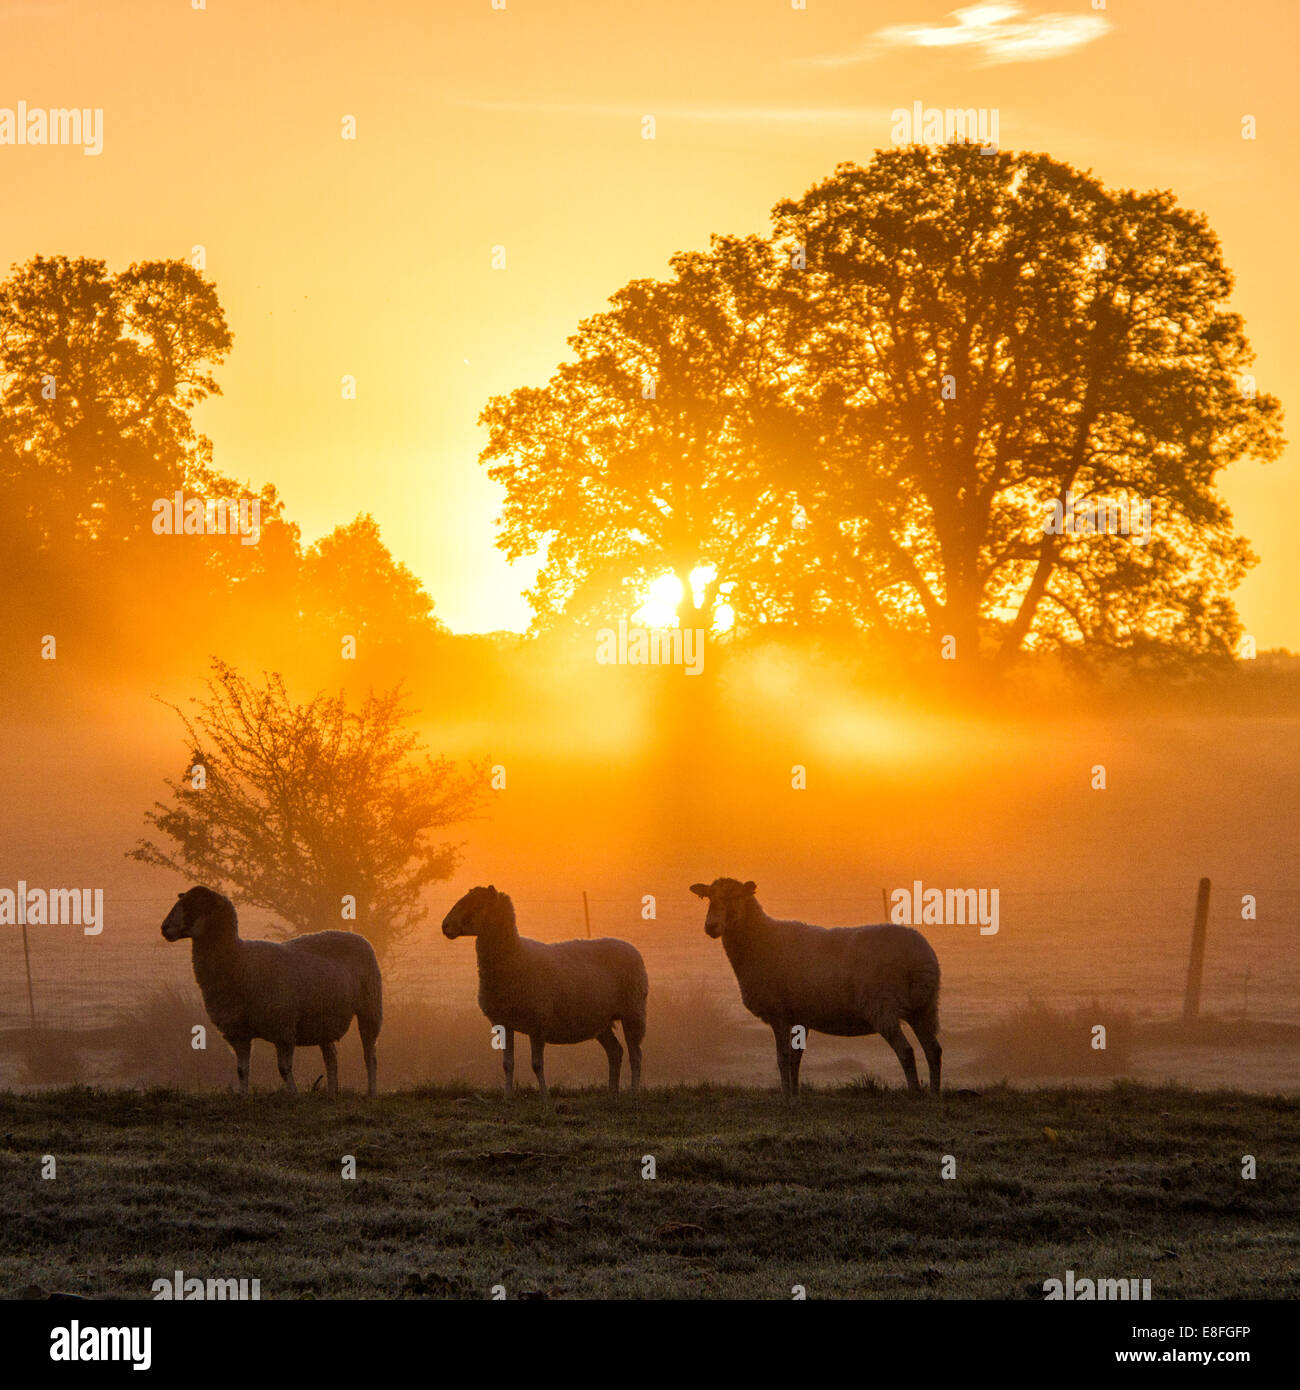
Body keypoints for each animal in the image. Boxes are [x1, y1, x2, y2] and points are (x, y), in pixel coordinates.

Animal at [159, 889, 380, 1095]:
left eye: (195, 904)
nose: (164, 928)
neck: (240, 961)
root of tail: (351, 934)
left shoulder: (283, 1029)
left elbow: (283, 1068)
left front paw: (293, 1094)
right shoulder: (237, 1033)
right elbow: (241, 1070)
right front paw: (243, 1096)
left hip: (370, 1008)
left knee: (369, 1055)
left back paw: (371, 1092)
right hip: (323, 1020)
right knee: (331, 1058)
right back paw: (332, 1093)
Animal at [444, 884, 647, 1100]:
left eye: (477, 903)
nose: (444, 926)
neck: (515, 955)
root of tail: (630, 946)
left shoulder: (537, 1023)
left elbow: (537, 1065)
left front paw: (544, 1096)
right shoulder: (503, 1022)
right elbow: (507, 1065)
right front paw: (507, 1096)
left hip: (633, 1011)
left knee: (635, 1056)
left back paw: (633, 1092)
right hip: (601, 1021)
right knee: (615, 1052)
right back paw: (612, 1092)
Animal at [692, 878, 945, 1095]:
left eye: (735, 896)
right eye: (708, 898)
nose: (711, 927)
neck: (761, 939)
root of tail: (922, 958)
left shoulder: (779, 1013)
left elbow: (782, 1057)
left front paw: (785, 1095)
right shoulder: (801, 1016)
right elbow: (796, 1059)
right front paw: (795, 1094)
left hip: (883, 1006)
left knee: (906, 1051)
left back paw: (915, 1093)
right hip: (924, 1007)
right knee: (933, 1050)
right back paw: (934, 1093)